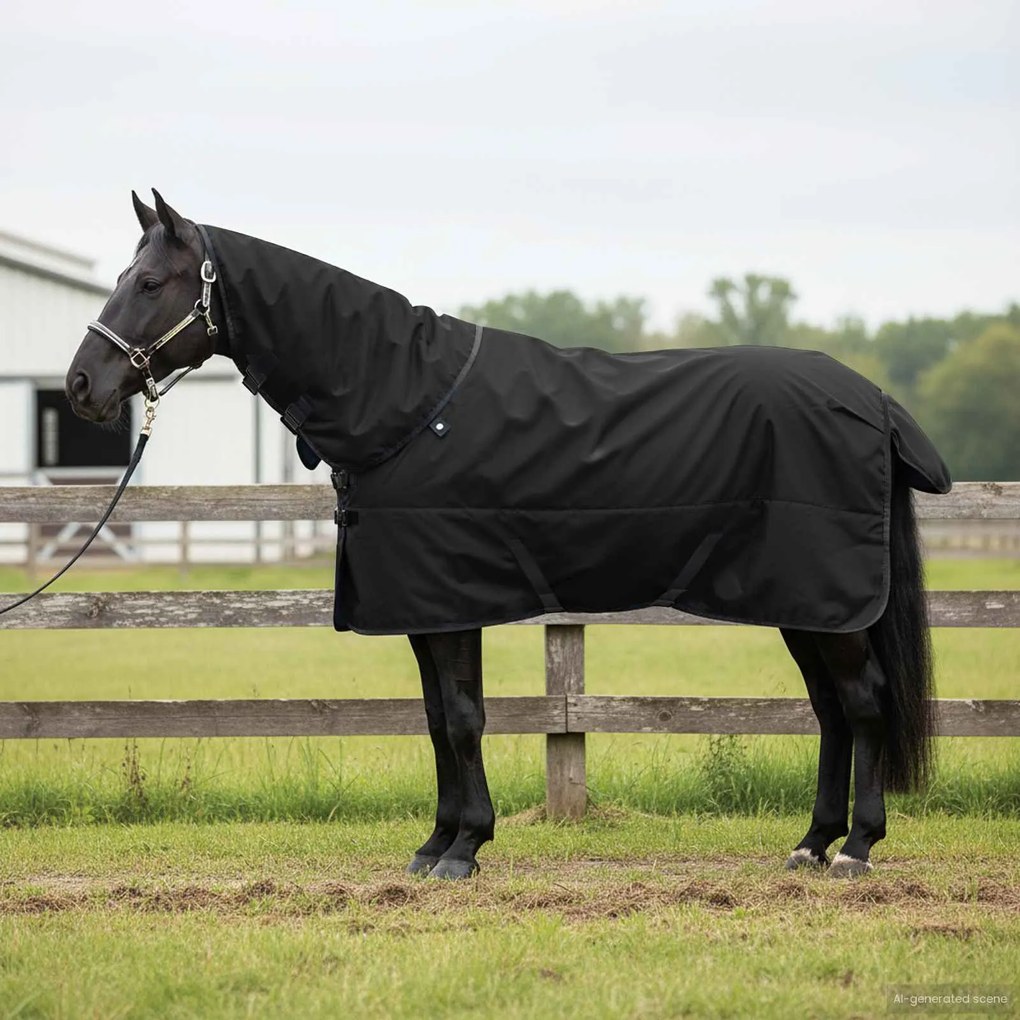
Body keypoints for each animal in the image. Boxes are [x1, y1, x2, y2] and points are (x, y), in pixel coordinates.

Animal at [65, 190, 951, 880]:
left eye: (149, 282)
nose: (81, 386)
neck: (407, 401)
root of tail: (872, 399)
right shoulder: (423, 609)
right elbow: (435, 719)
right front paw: (435, 845)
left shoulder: (451, 600)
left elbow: (462, 718)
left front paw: (464, 850)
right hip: (806, 605)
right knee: (831, 710)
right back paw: (810, 844)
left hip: (826, 599)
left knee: (862, 703)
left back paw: (856, 849)